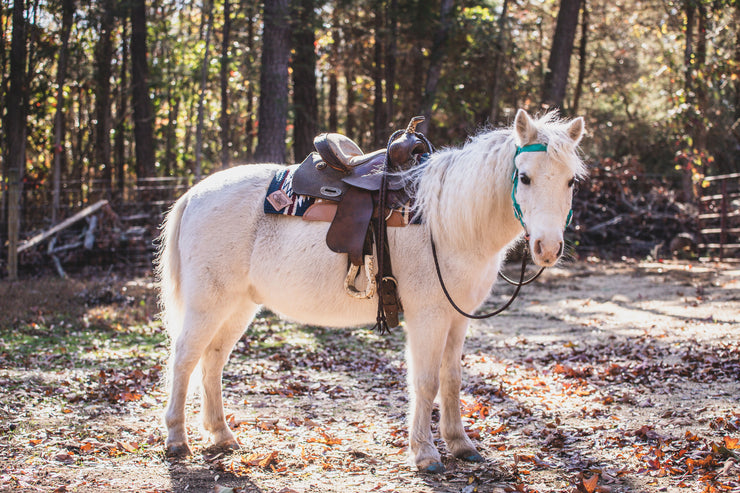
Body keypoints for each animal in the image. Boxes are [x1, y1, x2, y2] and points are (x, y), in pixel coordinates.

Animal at [158, 108, 584, 472]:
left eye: (570, 181)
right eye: (524, 177)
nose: (547, 248)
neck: (446, 220)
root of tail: (196, 193)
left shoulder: (457, 318)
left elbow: (452, 379)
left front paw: (461, 445)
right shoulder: (429, 317)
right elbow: (426, 382)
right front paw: (425, 454)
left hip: (239, 306)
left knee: (212, 361)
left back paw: (221, 435)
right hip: (208, 304)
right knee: (184, 359)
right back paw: (177, 440)